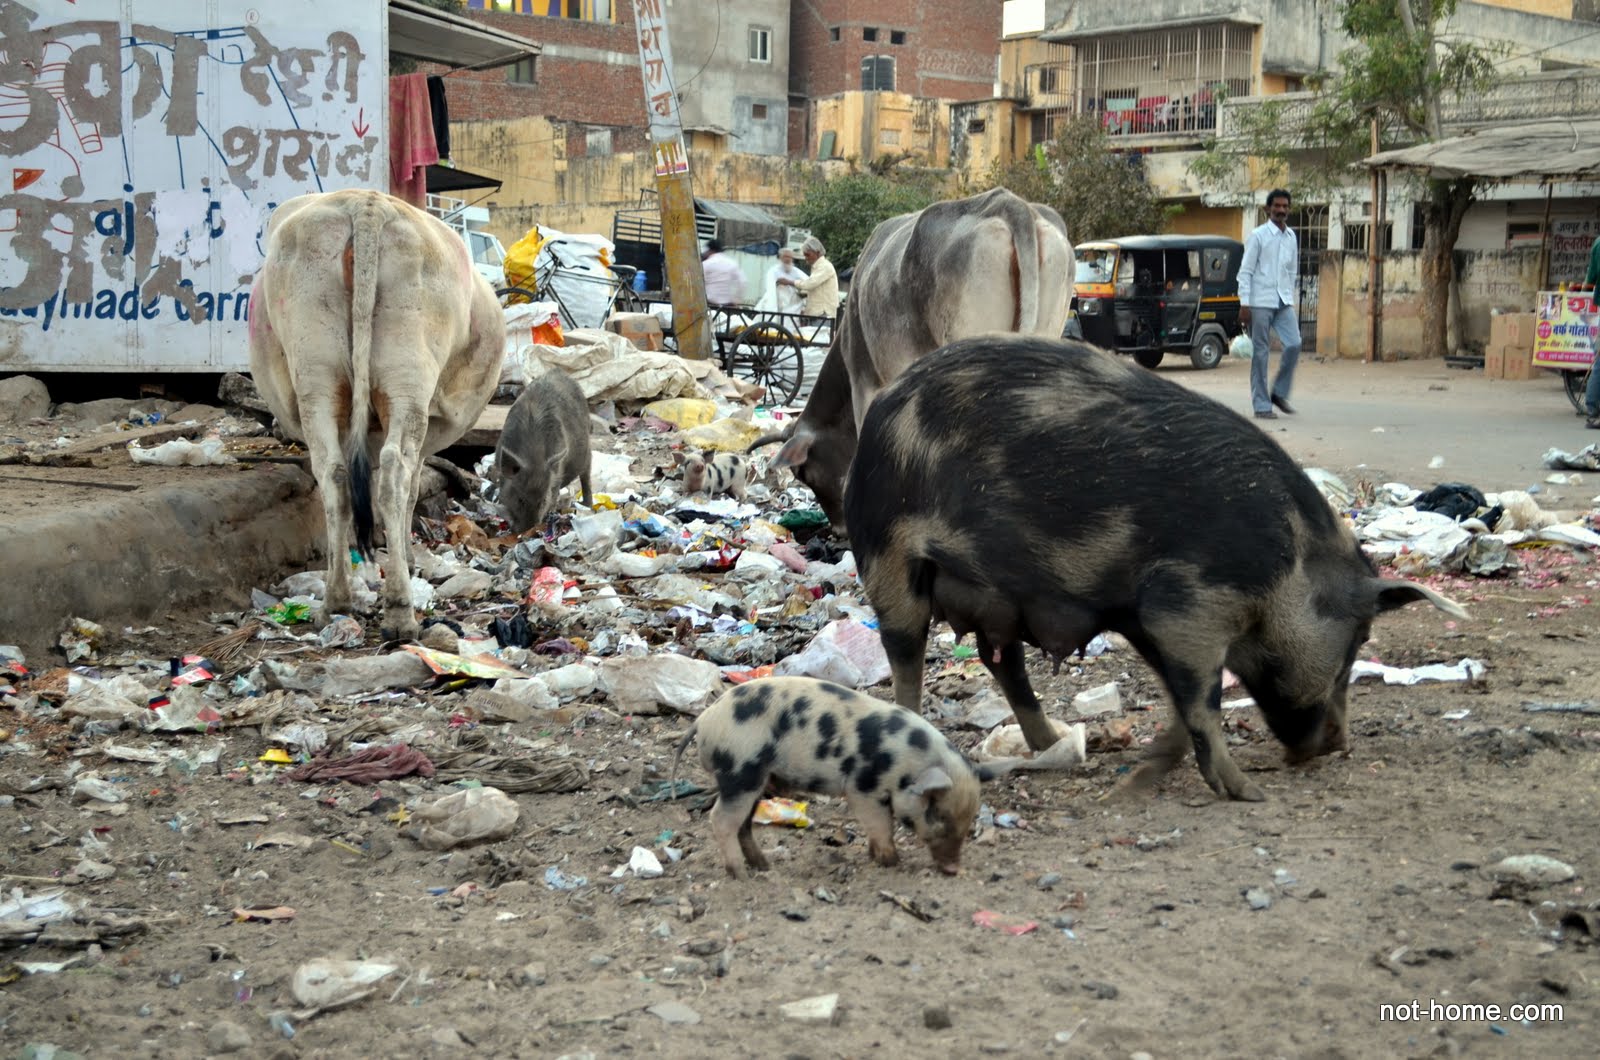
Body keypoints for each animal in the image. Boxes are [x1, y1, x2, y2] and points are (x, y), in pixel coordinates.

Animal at [249, 188, 502, 640]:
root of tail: (365, 204)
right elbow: (411, 488)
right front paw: (403, 558)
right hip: (409, 376)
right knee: (395, 474)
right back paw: (400, 609)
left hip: (316, 372)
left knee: (334, 475)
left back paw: (337, 599)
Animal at [844, 341, 1465, 807]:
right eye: (1357, 639)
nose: (1338, 744)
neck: (1286, 561)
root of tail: (879, 408)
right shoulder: (1187, 604)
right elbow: (1201, 700)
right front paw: (1247, 794)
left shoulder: (1147, 616)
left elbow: (1179, 702)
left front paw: (1141, 778)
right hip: (888, 557)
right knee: (906, 658)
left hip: (998, 597)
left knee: (1005, 664)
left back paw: (1062, 747)